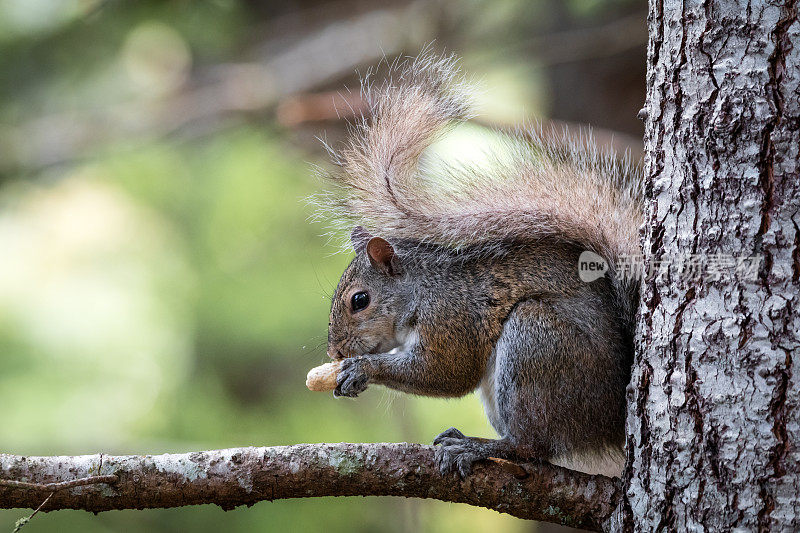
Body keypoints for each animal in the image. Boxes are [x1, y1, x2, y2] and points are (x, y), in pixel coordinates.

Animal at [316, 53, 640, 478]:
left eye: (359, 301)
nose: (336, 352)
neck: (422, 291)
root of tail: (610, 422)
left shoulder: (452, 320)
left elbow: (448, 372)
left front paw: (364, 369)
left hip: (538, 344)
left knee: (532, 446)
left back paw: (476, 447)